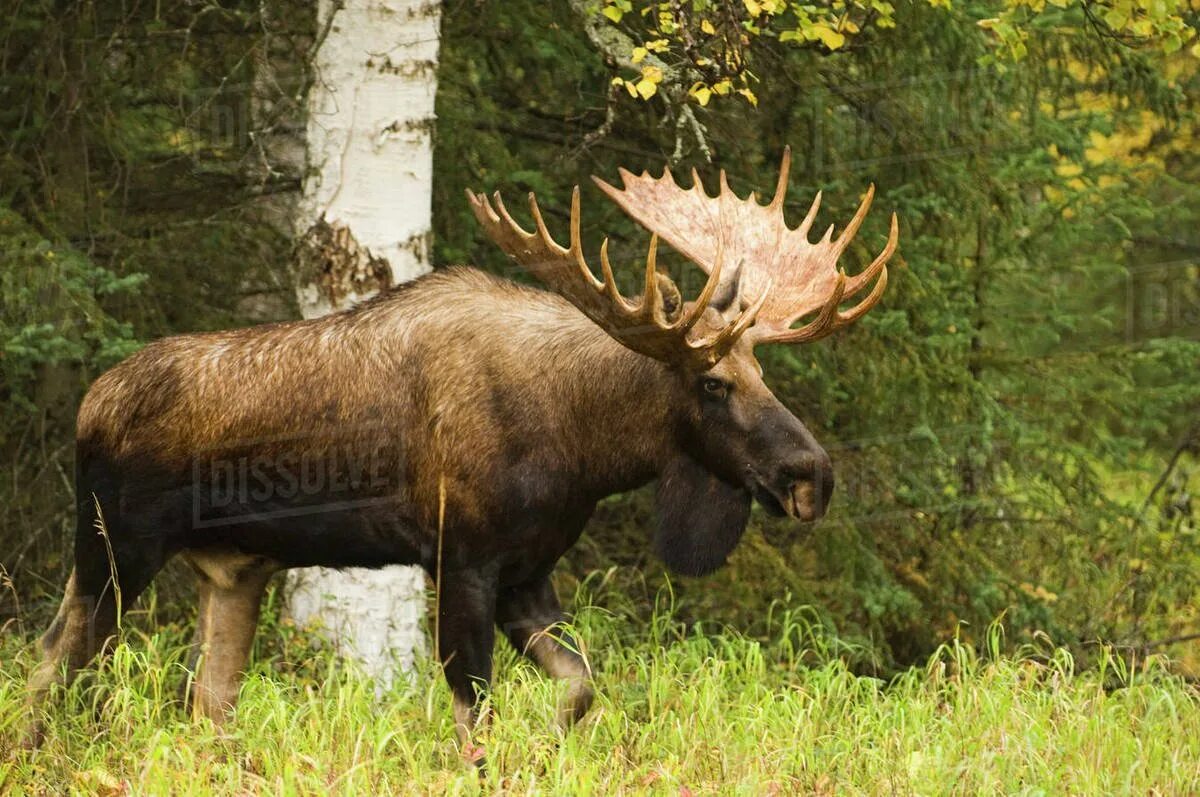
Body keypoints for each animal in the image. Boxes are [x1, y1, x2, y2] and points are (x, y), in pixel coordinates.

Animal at [25, 149, 902, 753]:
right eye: (715, 382)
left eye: (764, 371)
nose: (812, 476)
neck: (584, 444)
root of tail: (88, 405)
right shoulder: (462, 555)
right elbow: (472, 717)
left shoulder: (528, 572)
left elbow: (581, 689)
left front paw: (552, 748)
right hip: (114, 546)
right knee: (53, 660)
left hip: (234, 569)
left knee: (202, 700)